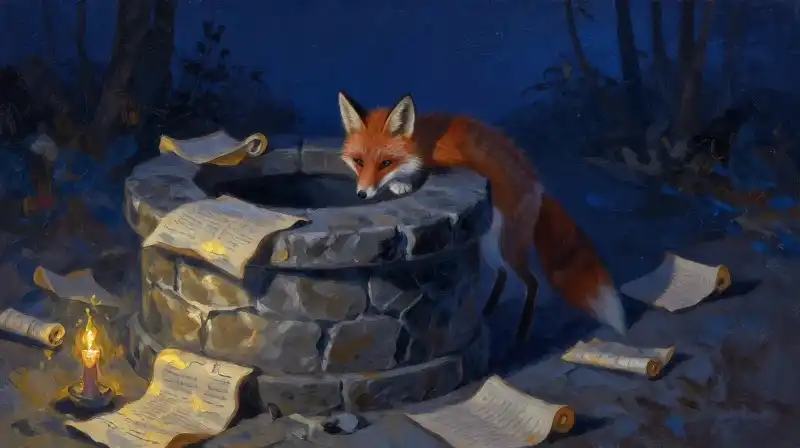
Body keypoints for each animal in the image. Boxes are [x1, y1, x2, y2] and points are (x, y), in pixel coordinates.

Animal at [337, 92, 627, 342]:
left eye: (385, 163)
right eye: (359, 161)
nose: (362, 193)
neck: (424, 144)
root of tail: (540, 188)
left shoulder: (453, 160)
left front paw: (401, 184)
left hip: (508, 247)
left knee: (531, 282)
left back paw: (521, 333)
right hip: (489, 245)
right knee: (502, 274)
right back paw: (487, 311)